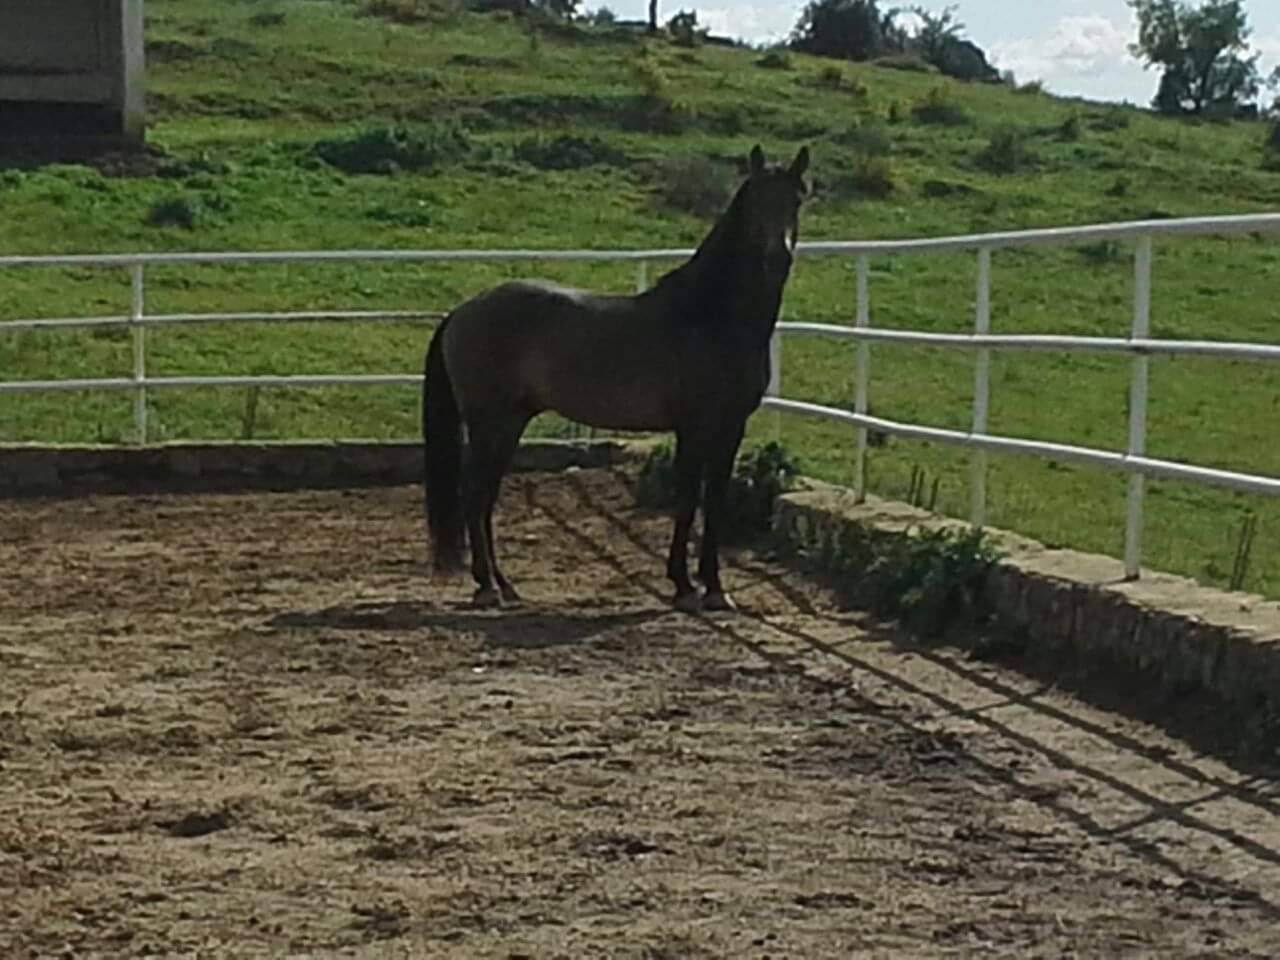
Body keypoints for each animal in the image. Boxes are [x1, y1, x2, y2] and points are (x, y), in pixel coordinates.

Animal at [421, 143, 810, 612]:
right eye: (756, 201)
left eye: (796, 200)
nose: (778, 257)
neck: (709, 315)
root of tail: (462, 311)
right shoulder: (694, 426)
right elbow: (687, 500)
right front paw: (684, 585)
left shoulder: (731, 426)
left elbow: (713, 500)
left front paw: (715, 589)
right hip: (487, 422)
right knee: (474, 493)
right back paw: (487, 588)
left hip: (509, 423)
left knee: (486, 496)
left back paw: (504, 585)